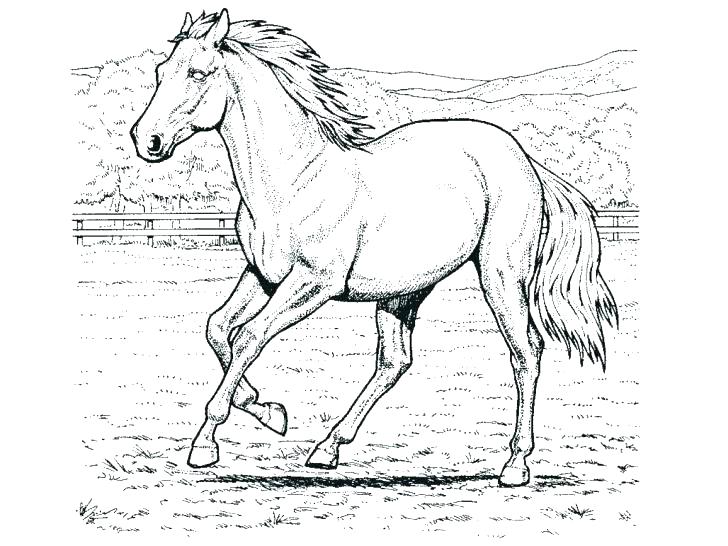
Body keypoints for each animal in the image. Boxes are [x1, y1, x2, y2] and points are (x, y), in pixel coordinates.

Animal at [130, 9, 617, 487]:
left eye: (197, 72)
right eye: (160, 71)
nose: (145, 140)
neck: (295, 180)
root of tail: (524, 159)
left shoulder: (313, 284)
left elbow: (248, 336)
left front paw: (206, 445)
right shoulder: (262, 276)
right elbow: (217, 329)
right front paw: (269, 411)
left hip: (501, 275)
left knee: (526, 352)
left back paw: (515, 465)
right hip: (403, 291)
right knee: (395, 361)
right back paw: (327, 449)